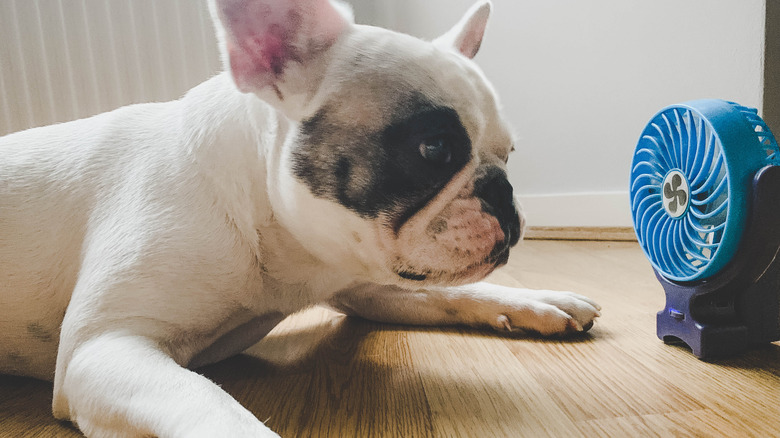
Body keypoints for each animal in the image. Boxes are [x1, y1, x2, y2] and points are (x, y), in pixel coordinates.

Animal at [0, 1, 600, 436]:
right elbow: (210, 408)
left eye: (509, 154)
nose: (504, 190)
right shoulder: (105, 346)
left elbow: (454, 292)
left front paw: (537, 300)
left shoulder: (360, 282)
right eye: (434, 150)